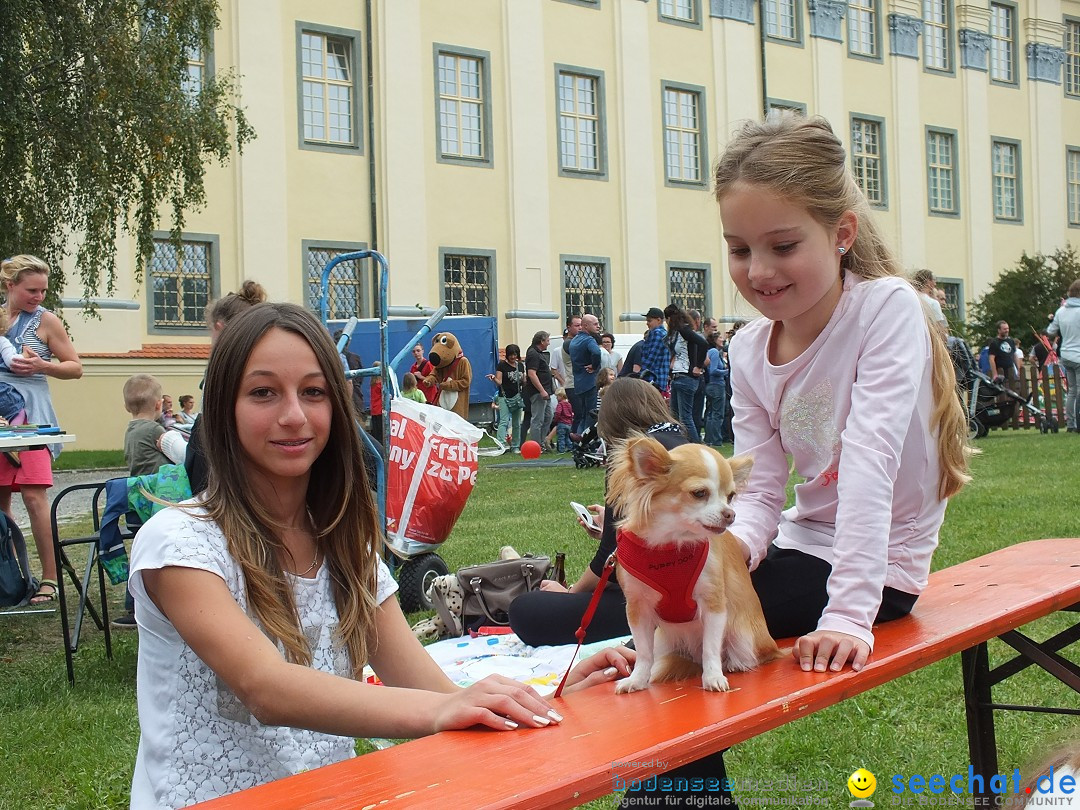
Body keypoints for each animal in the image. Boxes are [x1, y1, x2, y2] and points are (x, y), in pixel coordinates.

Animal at [609, 434, 777, 695]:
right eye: (699, 493)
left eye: (730, 496)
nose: (730, 514)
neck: (671, 545)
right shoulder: (638, 608)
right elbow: (644, 652)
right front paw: (636, 679)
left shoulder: (714, 603)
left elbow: (711, 648)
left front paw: (713, 677)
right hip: (665, 641)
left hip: (743, 636)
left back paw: (734, 664)